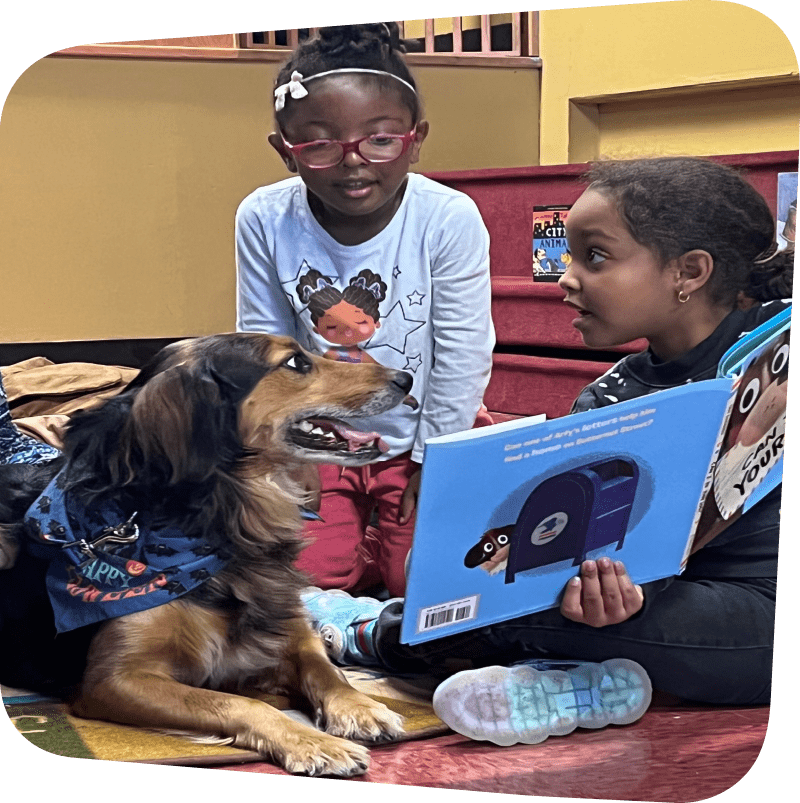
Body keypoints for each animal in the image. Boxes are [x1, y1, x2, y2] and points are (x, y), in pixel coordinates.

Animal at [0, 332, 412, 772]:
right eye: (296, 362)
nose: (405, 379)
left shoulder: (286, 623)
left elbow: (325, 667)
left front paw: (360, 706)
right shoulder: (114, 680)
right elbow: (239, 703)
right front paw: (311, 741)